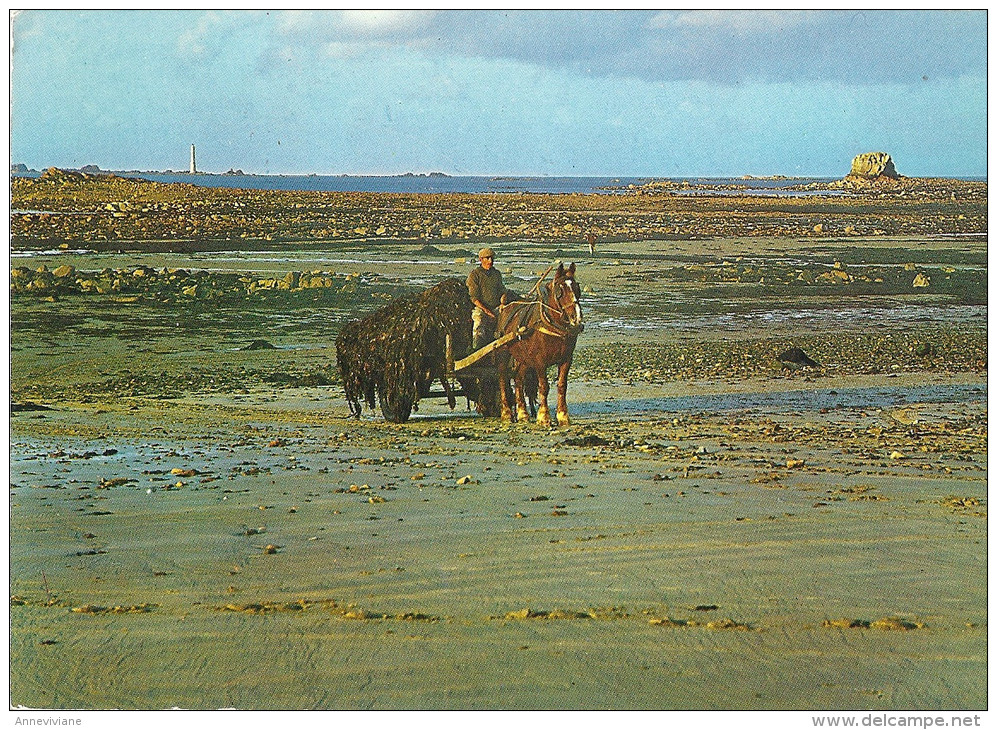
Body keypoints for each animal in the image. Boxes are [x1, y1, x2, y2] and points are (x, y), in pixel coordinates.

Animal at [492, 262, 580, 426]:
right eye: (560, 290)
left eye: (577, 288)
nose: (576, 318)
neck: (553, 324)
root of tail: (504, 307)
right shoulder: (540, 361)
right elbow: (544, 386)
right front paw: (544, 416)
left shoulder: (566, 359)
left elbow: (562, 385)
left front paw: (563, 416)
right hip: (503, 354)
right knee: (502, 380)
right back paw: (506, 413)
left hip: (524, 358)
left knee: (519, 380)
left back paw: (522, 413)